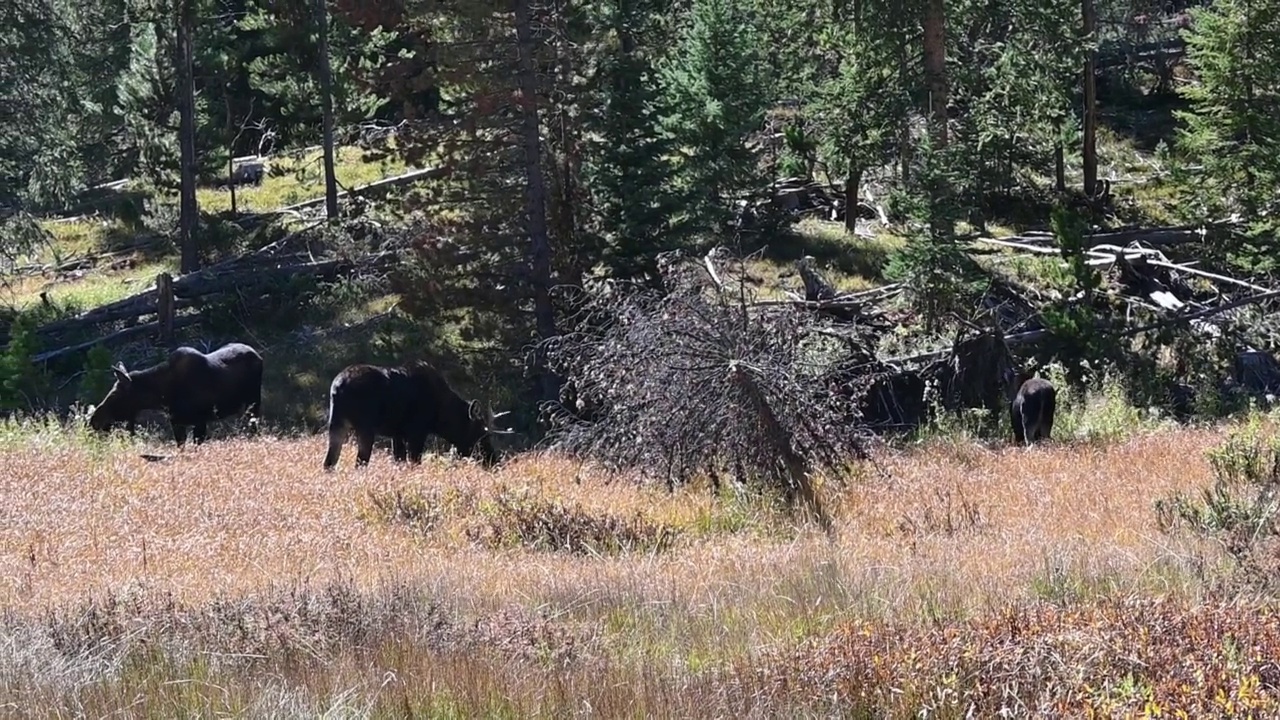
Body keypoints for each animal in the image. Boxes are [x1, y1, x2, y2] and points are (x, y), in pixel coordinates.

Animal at [88, 340, 263, 443]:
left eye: (115, 395)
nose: (94, 420)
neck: (162, 396)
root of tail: (259, 355)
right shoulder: (177, 422)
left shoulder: (200, 421)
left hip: (254, 401)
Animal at [322, 358, 512, 471]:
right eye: (480, 435)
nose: (494, 461)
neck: (441, 418)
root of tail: (338, 387)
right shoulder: (417, 432)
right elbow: (414, 461)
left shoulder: (397, 434)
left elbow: (399, 460)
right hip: (365, 426)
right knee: (360, 462)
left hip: (336, 422)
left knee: (329, 461)